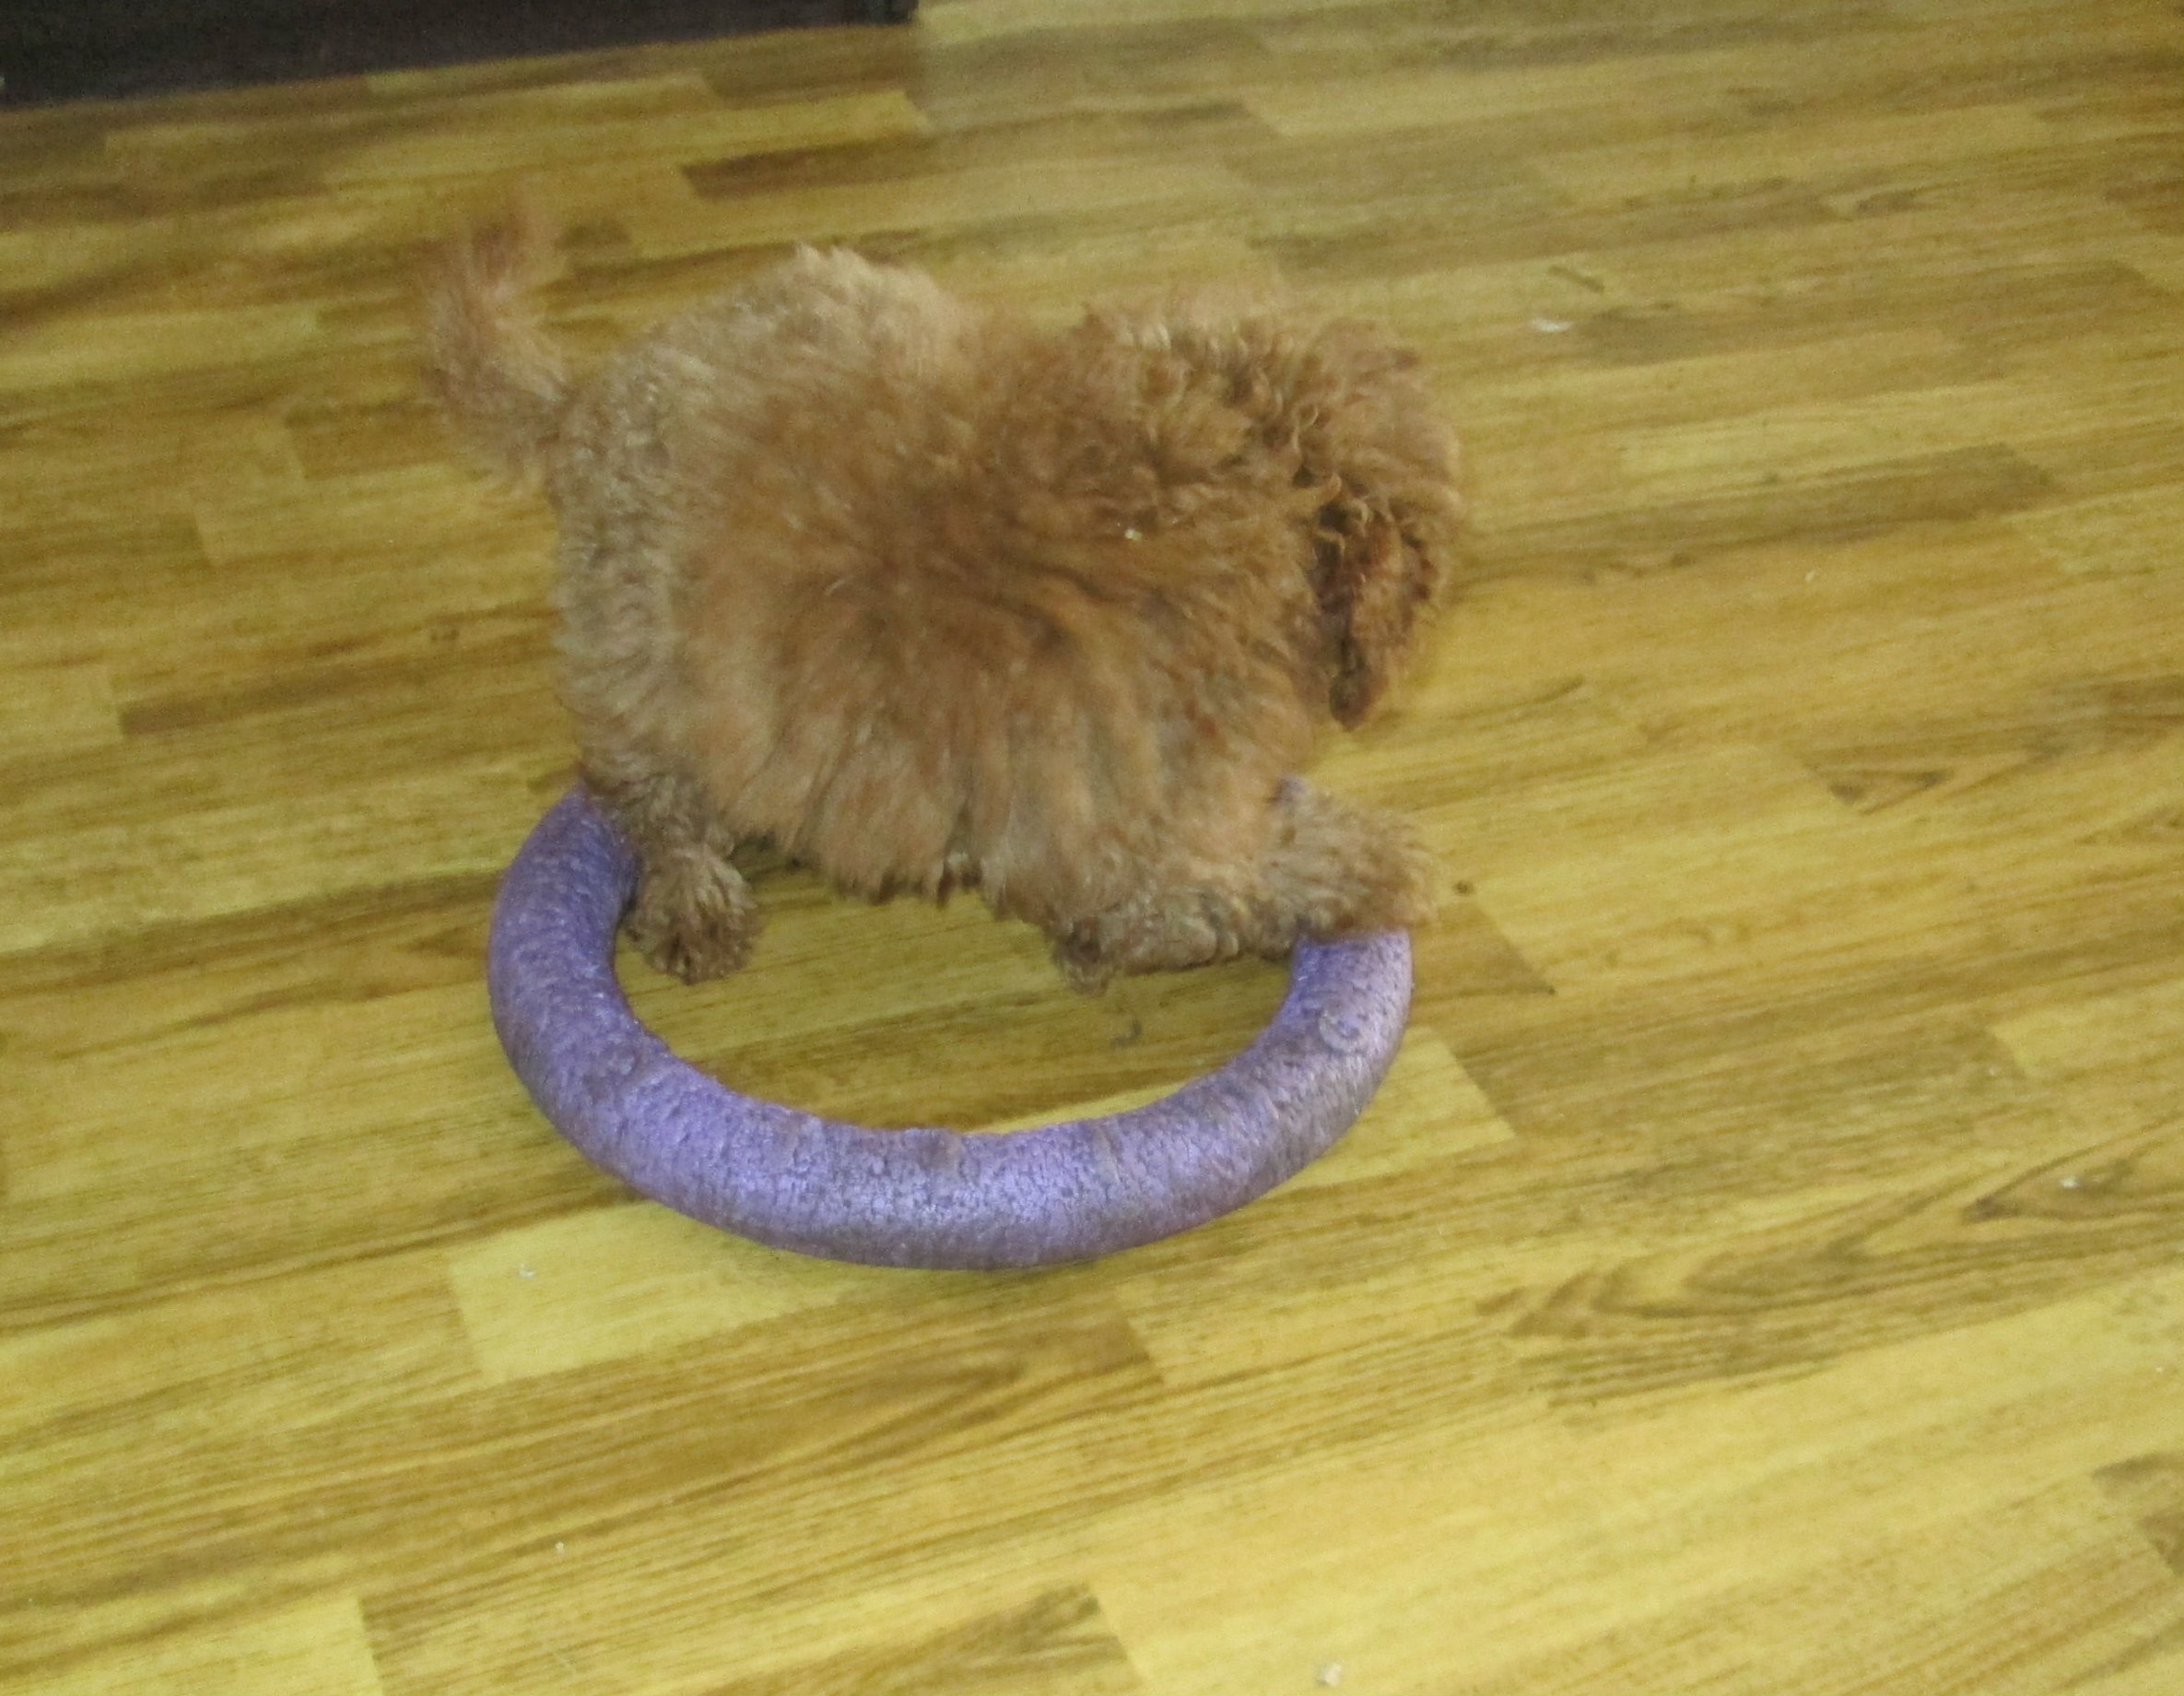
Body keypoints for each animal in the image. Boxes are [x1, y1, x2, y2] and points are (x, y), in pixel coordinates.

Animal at [425, 211, 1462, 990]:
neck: (1220, 467)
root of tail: (593, 394)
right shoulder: (1140, 847)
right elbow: (1268, 878)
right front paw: (1390, 863)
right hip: (644, 660)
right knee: (647, 802)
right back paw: (694, 897)